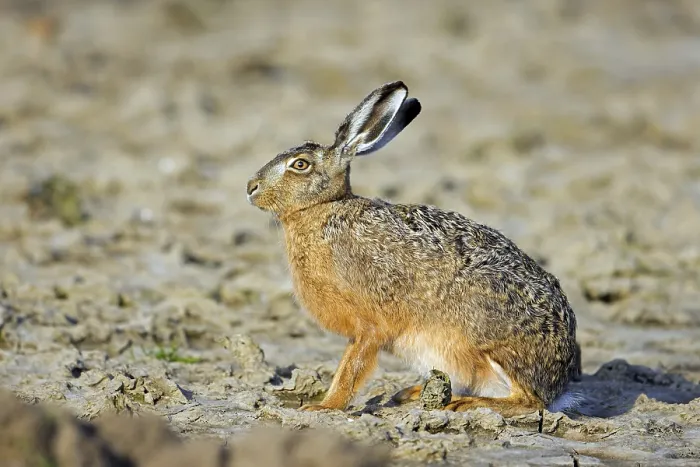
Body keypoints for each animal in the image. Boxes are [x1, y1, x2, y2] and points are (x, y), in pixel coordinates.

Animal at [246, 81, 579, 417]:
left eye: (300, 164)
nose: (251, 188)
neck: (323, 209)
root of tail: (558, 385)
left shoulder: (369, 325)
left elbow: (351, 368)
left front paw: (324, 407)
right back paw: (414, 393)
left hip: (487, 339)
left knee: (527, 400)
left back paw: (461, 403)